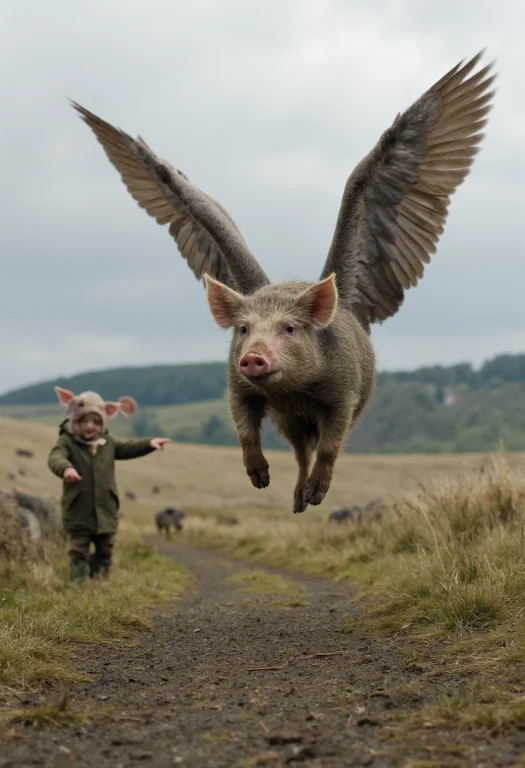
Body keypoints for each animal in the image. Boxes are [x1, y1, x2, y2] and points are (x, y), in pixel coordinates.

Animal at [71, 51, 496, 513]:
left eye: (290, 328)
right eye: (243, 329)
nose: (254, 355)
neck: (294, 391)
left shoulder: (343, 395)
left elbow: (332, 446)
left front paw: (317, 495)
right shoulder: (238, 386)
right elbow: (243, 427)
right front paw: (260, 480)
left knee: (314, 450)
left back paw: (307, 500)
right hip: (287, 421)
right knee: (298, 451)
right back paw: (293, 502)